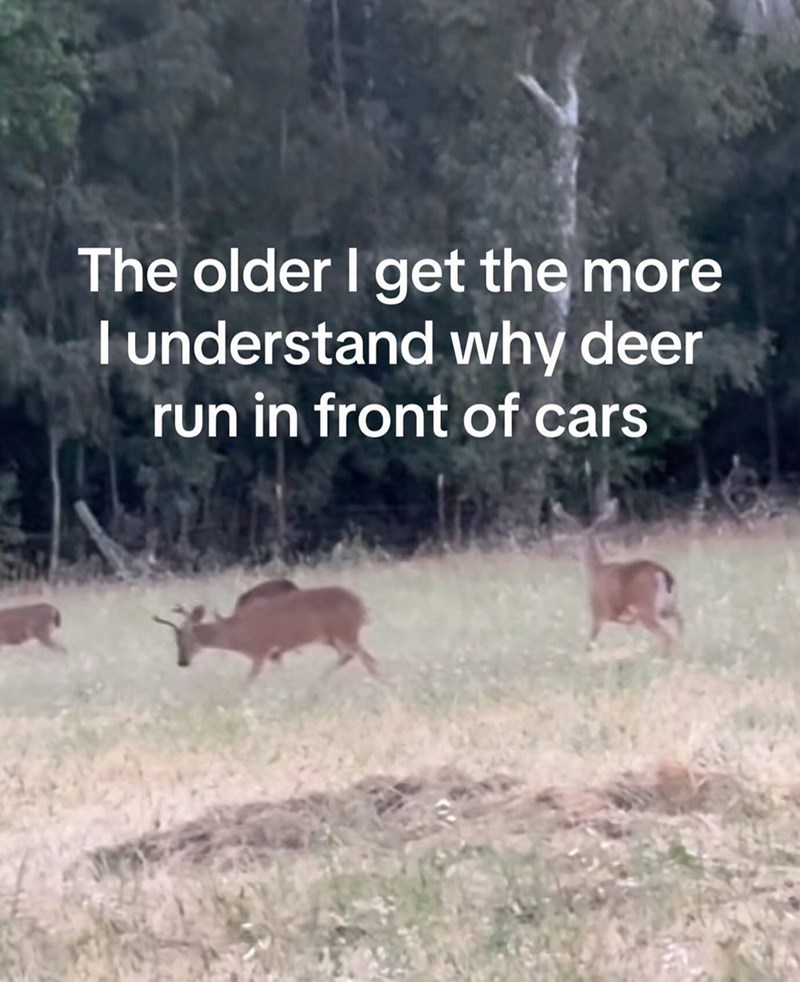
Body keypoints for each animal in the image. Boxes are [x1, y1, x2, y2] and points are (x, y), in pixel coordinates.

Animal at [153, 586, 379, 684]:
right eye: (174, 640)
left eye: (187, 637)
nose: (182, 662)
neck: (236, 632)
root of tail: (361, 605)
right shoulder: (274, 654)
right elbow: (282, 675)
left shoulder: (260, 651)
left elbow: (248, 681)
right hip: (332, 636)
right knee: (351, 656)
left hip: (346, 632)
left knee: (368, 658)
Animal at [551, 497, 683, 651]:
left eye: (576, 542)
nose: (573, 555)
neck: (595, 571)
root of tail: (662, 572)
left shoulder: (599, 612)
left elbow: (590, 642)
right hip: (669, 607)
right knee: (680, 625)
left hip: (646, 608)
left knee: (667, 636)